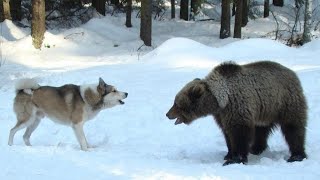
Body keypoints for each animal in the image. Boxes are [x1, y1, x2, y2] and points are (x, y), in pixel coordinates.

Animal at [166, 60, 306, 166]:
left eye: (176, 104)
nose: (167, 114)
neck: (220, 100)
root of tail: (292, 73)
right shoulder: (222, 115)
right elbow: (227, 132)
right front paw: (229, 154)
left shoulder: (237, 106)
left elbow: (239, 132)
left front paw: (235, 159)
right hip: (264, 110)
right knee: (261, 130)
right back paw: (256, 148)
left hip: (285, 102)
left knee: (293, 128)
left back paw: (296, 155)